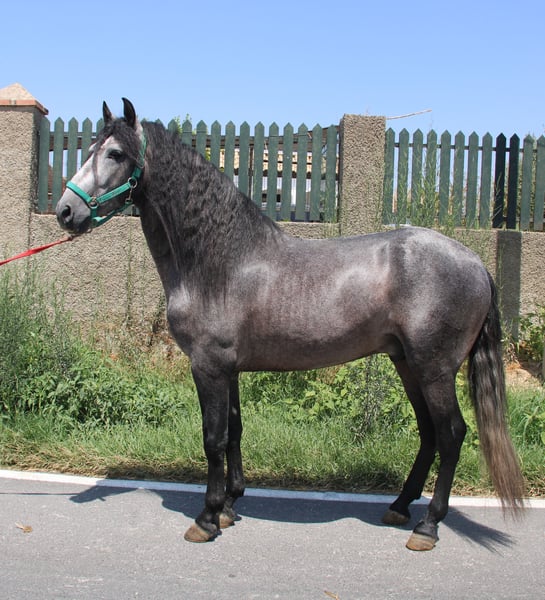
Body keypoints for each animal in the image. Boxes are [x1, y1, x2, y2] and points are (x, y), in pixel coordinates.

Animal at [56, 99, 525, 551]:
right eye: (90, 147)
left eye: (115, 153)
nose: (65, 211)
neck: (222, 261)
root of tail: (476, 263)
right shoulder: (229, 369)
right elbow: (235, 432)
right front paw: (229, 506)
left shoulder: (208, 367)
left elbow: (213, 439)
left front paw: (206, 518)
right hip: (408, 364)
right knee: (428, 433)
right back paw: (399, 506)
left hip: (434, 368)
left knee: (451, 435)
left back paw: (427, 526)